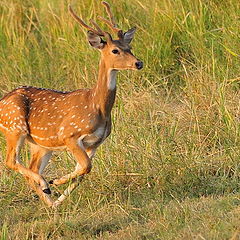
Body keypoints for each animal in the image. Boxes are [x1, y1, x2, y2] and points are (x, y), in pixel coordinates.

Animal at [0, 1, 142, 208]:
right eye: (115, 50)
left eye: (129, 46)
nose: (138, 63)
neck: (97, 106)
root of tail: (2, 101)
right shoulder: (70, 135)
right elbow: (86, 166)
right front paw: (56, 181)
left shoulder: (95, 142)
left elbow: (83, 171)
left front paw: (58, 192)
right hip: (14, 127)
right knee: (11, 160)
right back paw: (46, 185)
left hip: (41, 144)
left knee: (32, 167)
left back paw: (50, 201)